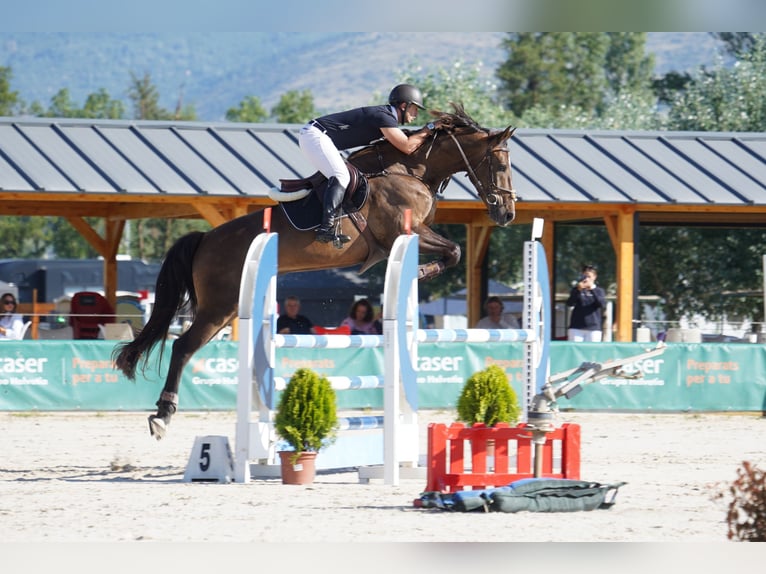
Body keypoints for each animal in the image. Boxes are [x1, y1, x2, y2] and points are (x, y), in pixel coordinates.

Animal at [114, 103, 520, 438]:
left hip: (228, 306)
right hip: (219, 307)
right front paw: (420, 272)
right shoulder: (404, 232)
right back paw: (163, 415)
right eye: (501, 165)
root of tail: (205, 239)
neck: (410, 169)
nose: (507, 213)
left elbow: (453, 252)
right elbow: (454, 251)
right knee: (182, 346)